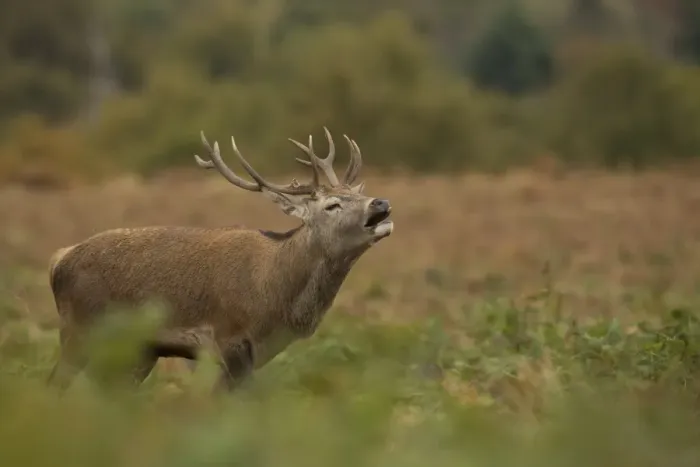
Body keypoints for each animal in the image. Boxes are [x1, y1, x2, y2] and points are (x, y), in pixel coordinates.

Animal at [46, 127, 393, 392]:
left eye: (360, 194)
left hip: (138, 350)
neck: (275, 294)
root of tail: (58, 261)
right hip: (78, 328)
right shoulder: (230, 335)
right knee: (55, 383)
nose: (381, 203)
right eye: (332, 204)